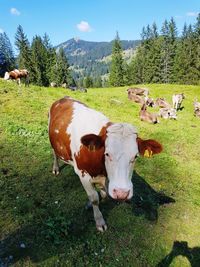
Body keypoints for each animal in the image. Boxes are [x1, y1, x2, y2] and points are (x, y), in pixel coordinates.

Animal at [48, 97, 162, 232]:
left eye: (136, 156)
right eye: (107, 154)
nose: (122, 193)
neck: (100, 168)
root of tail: (64, 98)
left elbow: (103, 194)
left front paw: (91, 202)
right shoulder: (83, 174)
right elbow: (94, 198)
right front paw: (99, 220)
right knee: (54, 153)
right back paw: (55, 168)